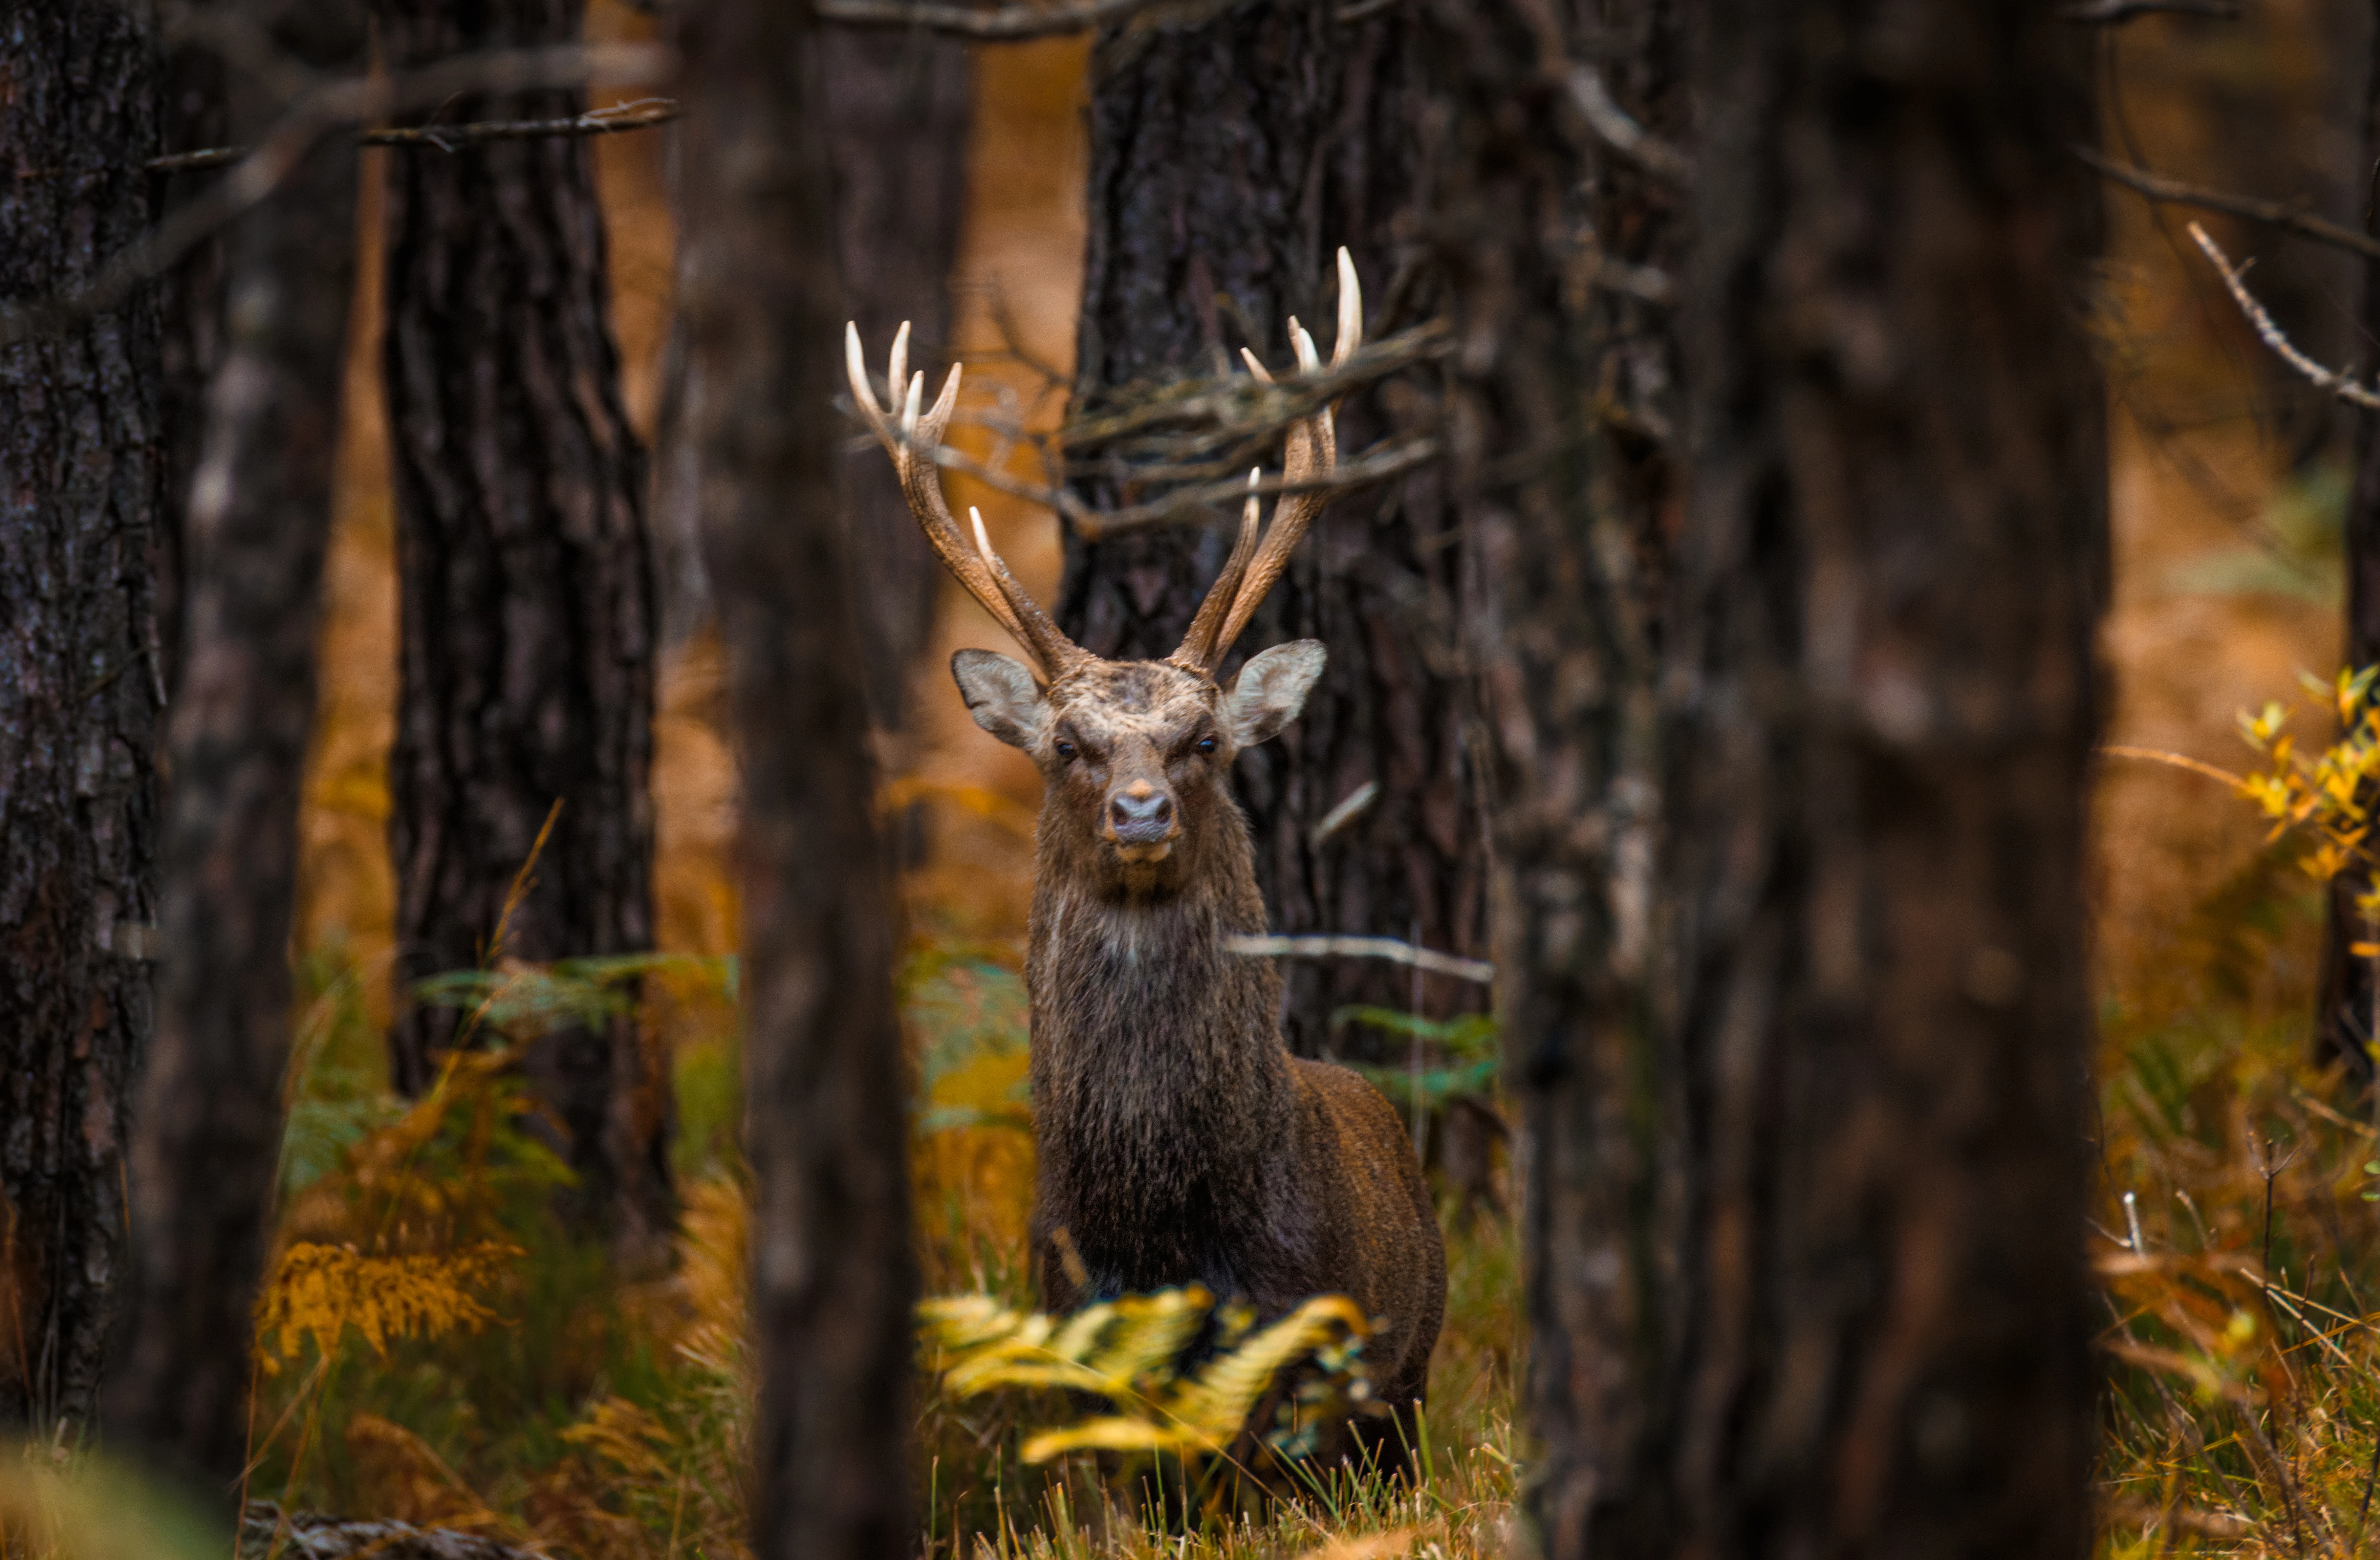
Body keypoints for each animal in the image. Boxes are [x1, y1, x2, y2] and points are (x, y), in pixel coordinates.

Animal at [845, 250, 1444, 1468]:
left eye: (1204, 738)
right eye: (1066, 745)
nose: (1139, 809)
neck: (1164, 1232)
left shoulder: (1299, 1331)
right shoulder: (1061, 1314)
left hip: (1412, 1366)